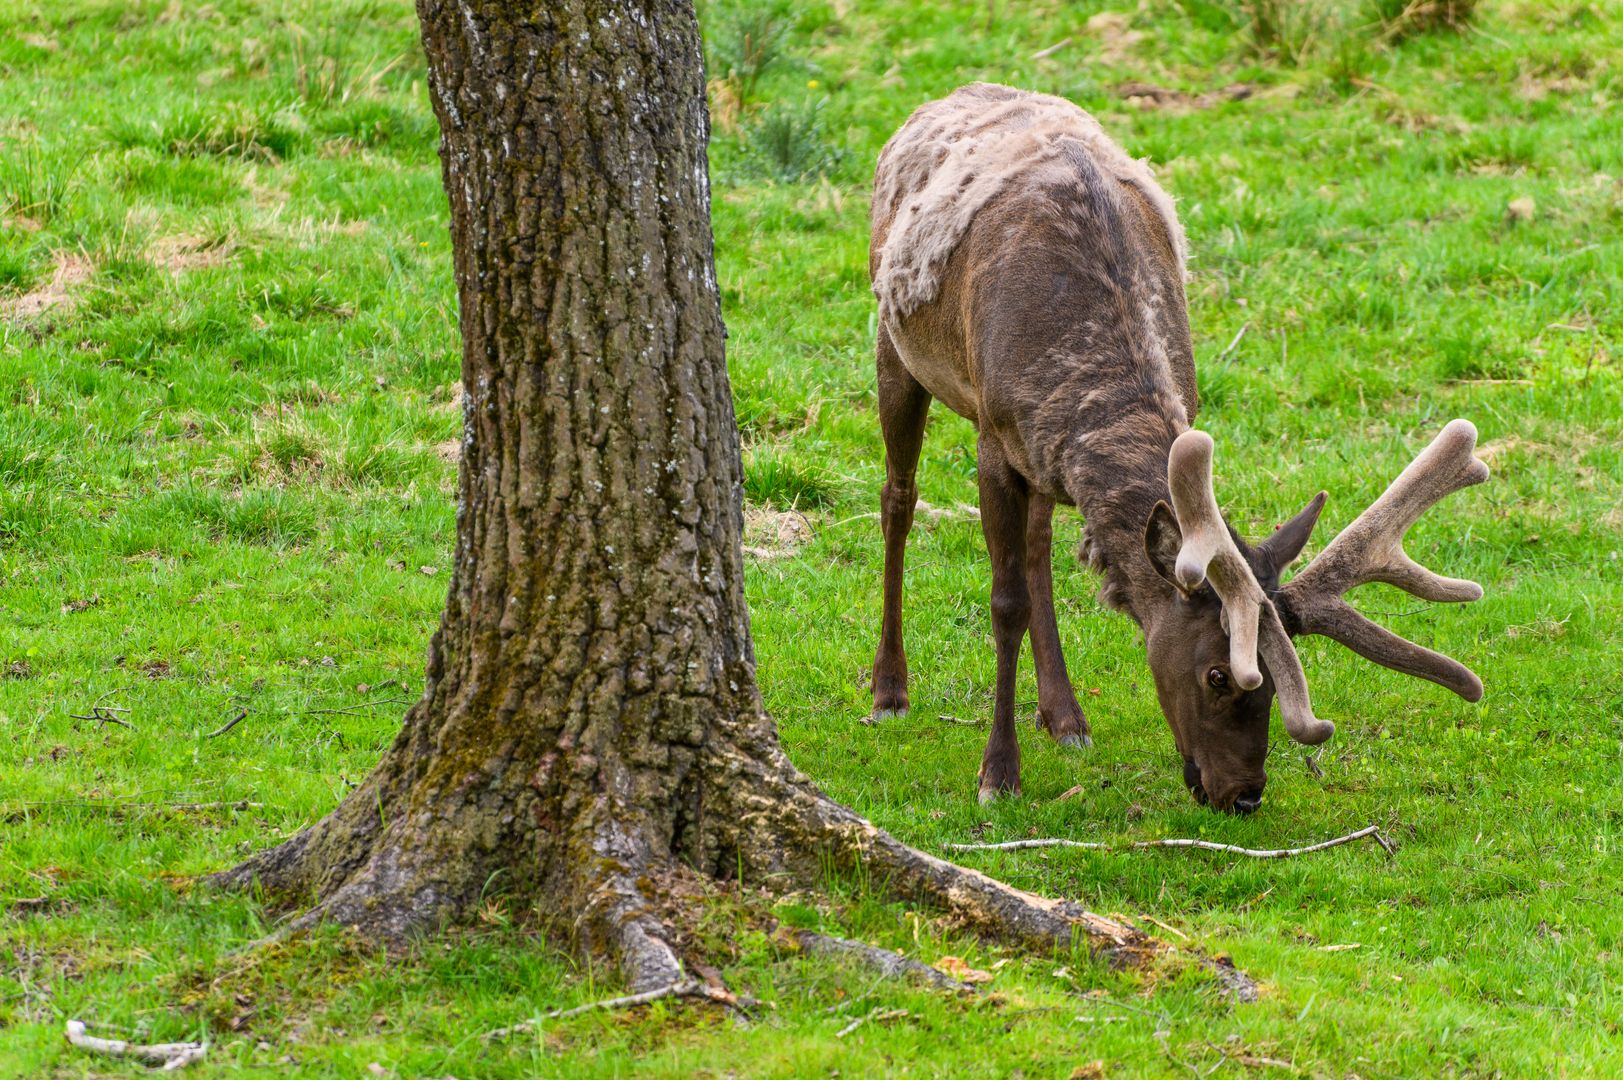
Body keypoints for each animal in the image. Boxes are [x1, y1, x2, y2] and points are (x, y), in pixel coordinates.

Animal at [868, 83, 1488, 810]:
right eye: (1219, 674)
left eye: (1277, 680)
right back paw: (888, 691)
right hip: (893, 343)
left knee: (1038, 542)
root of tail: (948, 96)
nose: (1244, 794)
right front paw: (998, 774)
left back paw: (1065, 716)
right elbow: (1003, 602)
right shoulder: (994, 437)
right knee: (898, 498)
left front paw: (1049, 731)